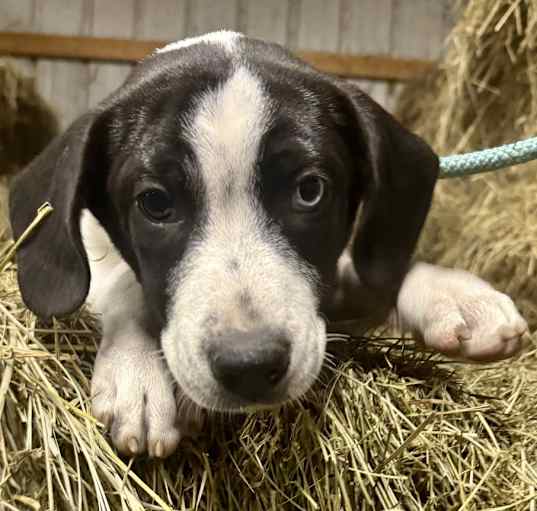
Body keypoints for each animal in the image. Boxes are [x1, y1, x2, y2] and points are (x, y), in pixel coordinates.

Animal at [9, 30, 528, 458]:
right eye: (154, 203)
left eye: (309, 189)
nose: (250, 366)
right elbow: (122, 281)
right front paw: (136, 372)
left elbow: (377, 269)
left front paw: (454, 293)